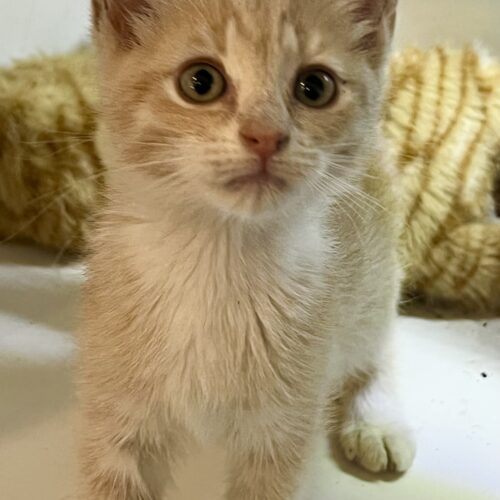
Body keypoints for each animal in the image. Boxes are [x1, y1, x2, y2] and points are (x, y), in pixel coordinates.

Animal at [79, 1, 415, 499]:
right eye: (200, 81)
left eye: (315, 87)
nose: (266, 135)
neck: (217, 265)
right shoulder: (114, 411)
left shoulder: (287, 424)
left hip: (375, 280)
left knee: (379, 340)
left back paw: (376, 419)